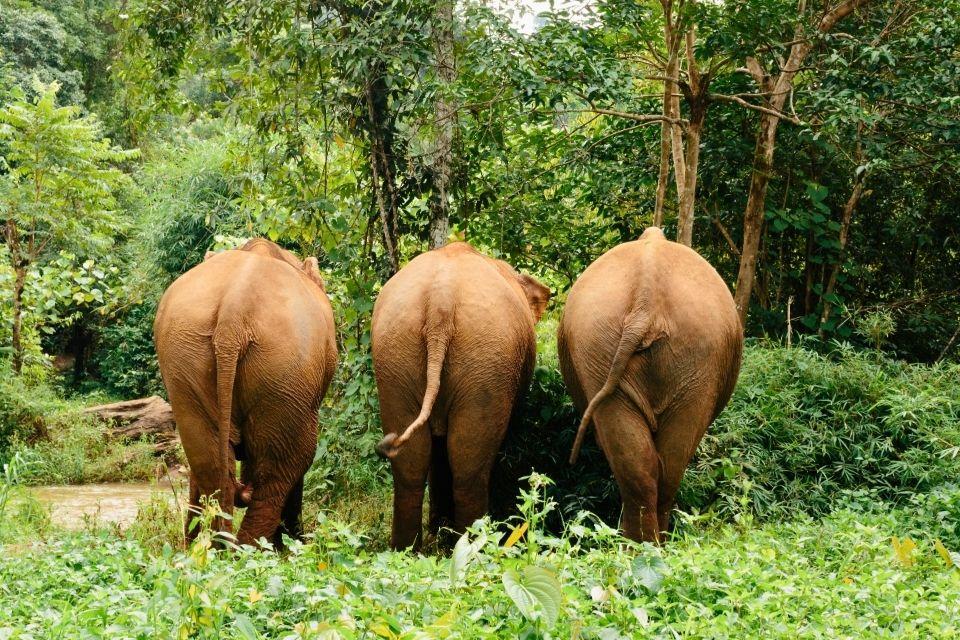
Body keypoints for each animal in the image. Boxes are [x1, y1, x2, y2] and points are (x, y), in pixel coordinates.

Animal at [154, 238, 337, 547]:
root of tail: (234, 314)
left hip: (184, 359)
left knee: (209, 462)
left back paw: (215, 549)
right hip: (286, 372)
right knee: (286, 466)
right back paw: (266, 549)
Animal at [372, 242, 551, 550]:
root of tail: (440, 302)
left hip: (394, 354)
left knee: (411, 461)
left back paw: (406, 550)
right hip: (486, 358)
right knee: (469, 464)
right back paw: (474, 546)